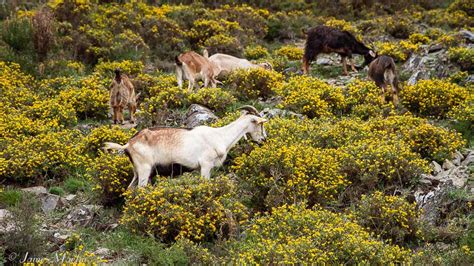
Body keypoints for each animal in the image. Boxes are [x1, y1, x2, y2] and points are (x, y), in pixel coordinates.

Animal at [103, 105, 266, 188]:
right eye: (261, 124)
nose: (263, 139)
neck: (220, 136)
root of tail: (128, 144)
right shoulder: (206, 165)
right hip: (144, 169)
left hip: (137, 171)